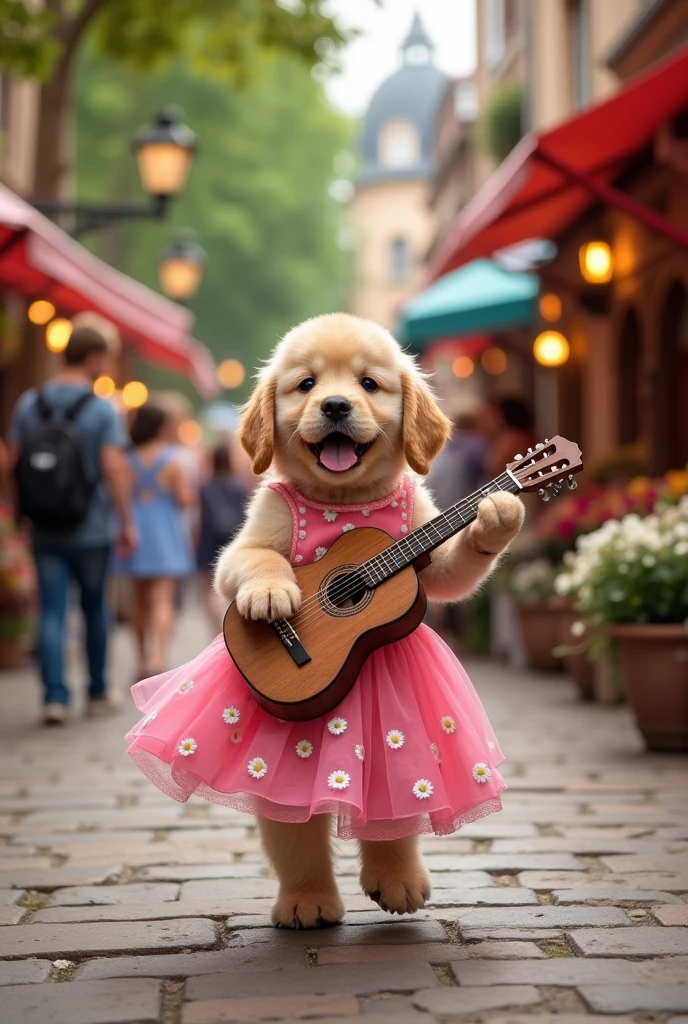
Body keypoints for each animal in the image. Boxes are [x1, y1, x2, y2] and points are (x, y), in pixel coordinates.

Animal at [215, 311, 522, 929]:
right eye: (307, 384)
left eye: (369, 384)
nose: (335, 405)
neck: (347, 499)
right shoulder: (255, 532)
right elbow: (249, 560)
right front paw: (270, 594)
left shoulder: (429, 547)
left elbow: (454, 571)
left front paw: (499, 511)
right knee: (292, 831)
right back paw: (307, 901)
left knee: (391, 814)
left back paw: (397, 882)